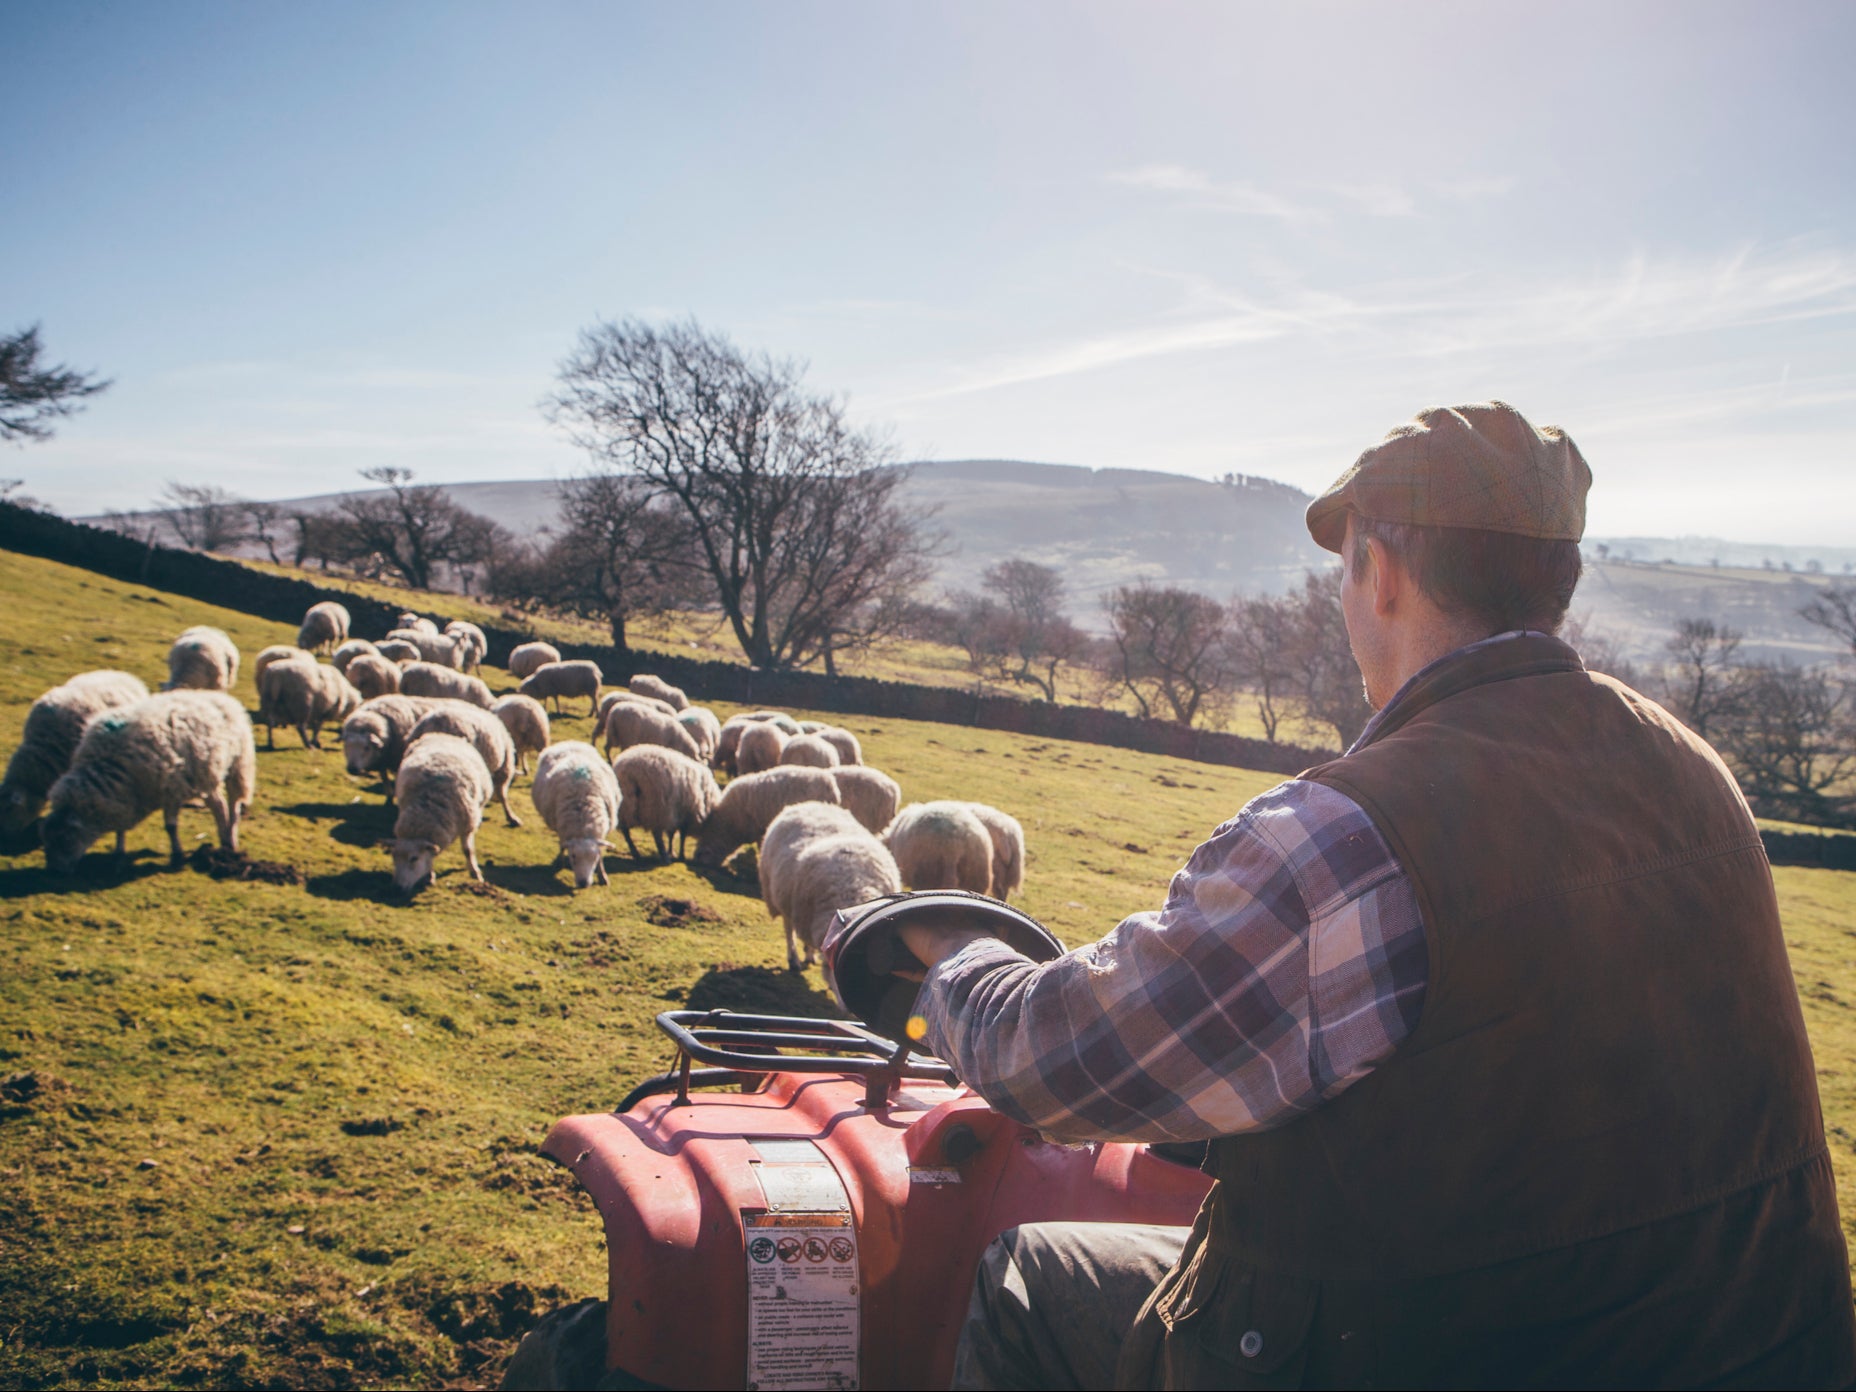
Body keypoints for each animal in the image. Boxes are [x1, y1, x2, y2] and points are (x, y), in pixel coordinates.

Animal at [42, 686, 257, 872]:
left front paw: (177, 856)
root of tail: (220, 697)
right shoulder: (127, 797)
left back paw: (230, 841)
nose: (54, 871)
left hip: (238, 766)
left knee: (232, 805)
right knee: (218, 805)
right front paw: (118, 854)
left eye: (65, 838)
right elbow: (120, 828)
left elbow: (170, 827)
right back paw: (224, 840)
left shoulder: (171, 789)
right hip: (206, 774)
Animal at [386, 731, 493, 894]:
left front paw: (475, 872)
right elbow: (431, 857)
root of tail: (440, 733)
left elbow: (468, 850)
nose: (396, 888)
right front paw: (429, 876)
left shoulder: (467, 825)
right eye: (393, 857)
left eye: (414, 858)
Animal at [530, 746, 623, 887]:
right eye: (573, 856)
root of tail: (568, 743)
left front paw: (602, 876)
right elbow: (562, 845)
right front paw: (560, 863)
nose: (583, 883)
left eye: (594, 857)